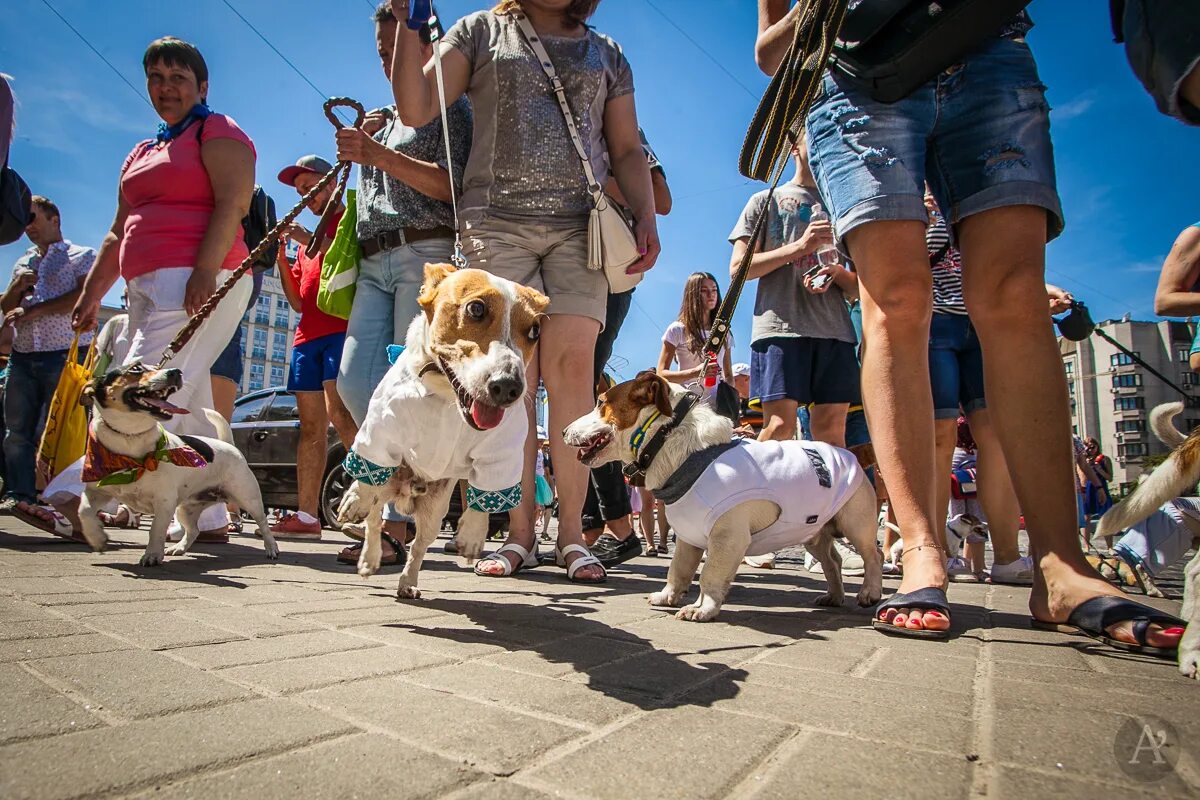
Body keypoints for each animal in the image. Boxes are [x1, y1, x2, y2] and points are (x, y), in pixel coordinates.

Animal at [77, 362, 278, 568]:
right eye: (135, 368)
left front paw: (152, 555)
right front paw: (96, 537)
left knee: (264, 525)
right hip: (186, 509)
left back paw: (271, 548)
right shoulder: (96, 492)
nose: (175, 372)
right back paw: (179, 548)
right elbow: (84, 511)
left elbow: (156, 530)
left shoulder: (164, 503)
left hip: (249, 500)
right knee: (194, 530)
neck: (130, 441)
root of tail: (229, 446)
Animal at [336, 266, 547, 597]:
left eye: (535, 330)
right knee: (373, 519)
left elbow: (485, 494)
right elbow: (367, 472)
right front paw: (356, 497)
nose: (509, 388)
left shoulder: (501, 451)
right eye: (476, 309)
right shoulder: (382, 426)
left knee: (418, 547)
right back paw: (369, 557)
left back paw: (408, 582)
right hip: (386, 482)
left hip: (434, 513)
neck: (448, 396)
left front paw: (473, 534)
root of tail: (406, 491)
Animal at [561, 371, 883, 623]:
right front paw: (668, 596)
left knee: (873, 555)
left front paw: (702, 609)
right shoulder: (689, 536)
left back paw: (870, 592)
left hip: (856, 522)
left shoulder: (728, 538)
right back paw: (834, 596)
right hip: (814, 532)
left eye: (601, 403)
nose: (563, 431)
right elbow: (678, 570)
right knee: (832, 561)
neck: (668, 440)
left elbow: (710, 574)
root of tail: (849, 453)